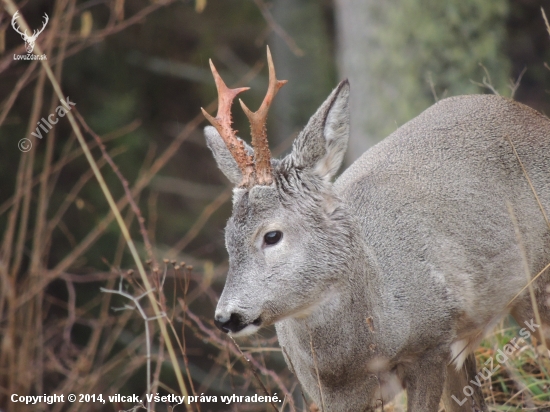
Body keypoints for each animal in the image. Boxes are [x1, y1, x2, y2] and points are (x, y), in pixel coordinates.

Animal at [202, 47, 550, 408]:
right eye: (228, 238)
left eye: (271, 235)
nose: (226, 317)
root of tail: (536, 117)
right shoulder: (323, 390)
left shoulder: (431, 344)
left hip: (537, 283)